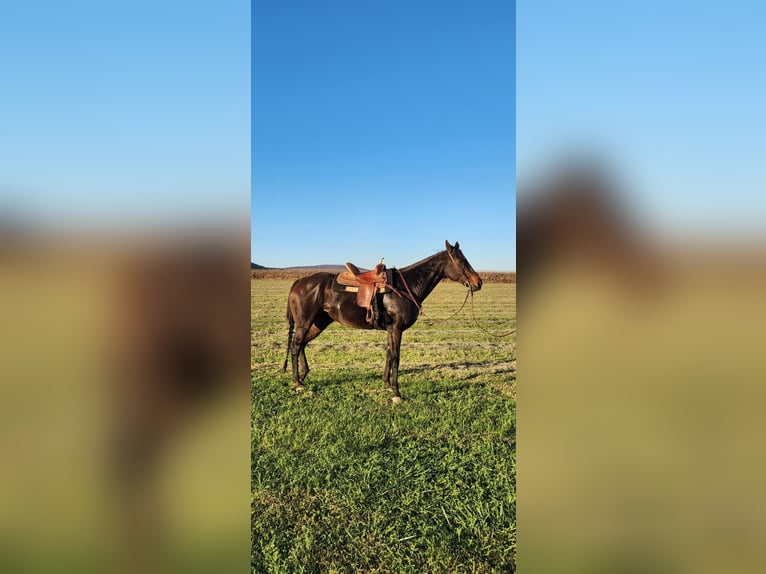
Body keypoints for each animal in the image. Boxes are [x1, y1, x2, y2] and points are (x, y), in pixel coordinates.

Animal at [284, 241, 484, 402]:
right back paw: (297, 382)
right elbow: (395, 355)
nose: (479, 282)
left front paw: (387, 384)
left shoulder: (391, 329)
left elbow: (388, 353)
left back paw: (303, 376)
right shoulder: (396, 328)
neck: (406, 286)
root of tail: (299, 282)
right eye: (461, 261)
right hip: (305, 322)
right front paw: (396, 392)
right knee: (295, 345)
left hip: (319, 323)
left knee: (302, 344)